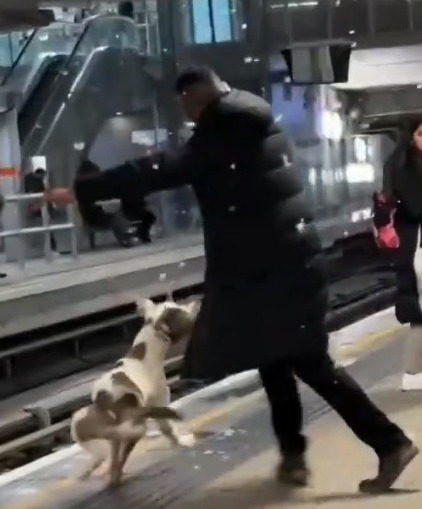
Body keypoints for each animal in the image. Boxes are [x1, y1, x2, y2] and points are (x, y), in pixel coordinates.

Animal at [70, 296, 199, 486]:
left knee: (107, 458)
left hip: (86, 423)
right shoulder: (158, 402)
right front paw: (181, 440)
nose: (197, 301)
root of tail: (107, 405)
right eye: (181, 310)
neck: (144, 356)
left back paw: (99, 473)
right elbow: (169, 429)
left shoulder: (121, 434)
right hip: (135, 427)